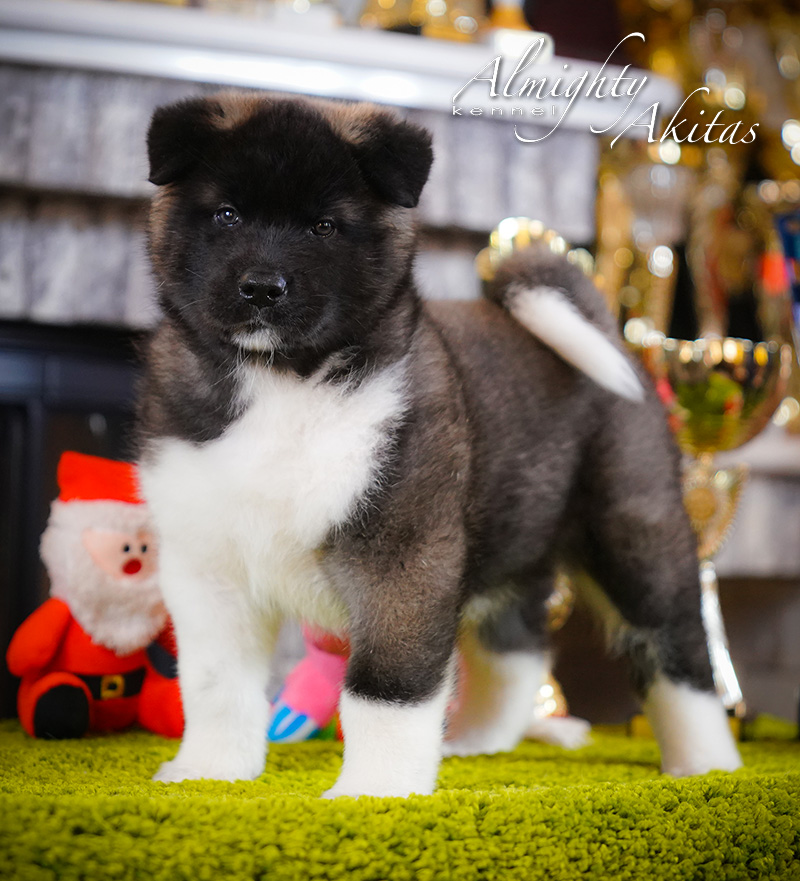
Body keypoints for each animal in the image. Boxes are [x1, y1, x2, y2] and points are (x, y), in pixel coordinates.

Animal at [139, 91, 744, 796]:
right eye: (227, 215)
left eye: (324, 228)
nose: (262, 287)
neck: (283, 381)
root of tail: (609, 328)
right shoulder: (208, 564)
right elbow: (215, 686)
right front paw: (209, 771)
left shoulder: (401, 557)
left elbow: (384, 689)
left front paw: (373, 791)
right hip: (512, 538)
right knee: (517, 648)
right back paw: (479, 742)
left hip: (634, 532)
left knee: (678, 649)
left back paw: (707, 762)